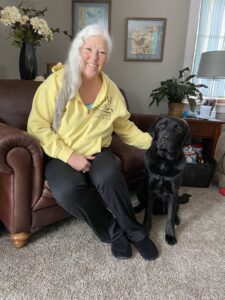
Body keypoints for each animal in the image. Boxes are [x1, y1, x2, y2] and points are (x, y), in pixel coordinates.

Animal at [142, 116, 190, 245]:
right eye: (162, 125)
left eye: (178, 129)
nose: (166, 138)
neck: (163, 161)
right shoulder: (150, 191)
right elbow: (147, 213)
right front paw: (145, 229)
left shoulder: (173, 193)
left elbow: (170, 217)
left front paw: (170, 235)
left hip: (176, 199)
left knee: (175, 211)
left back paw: (177, 220)